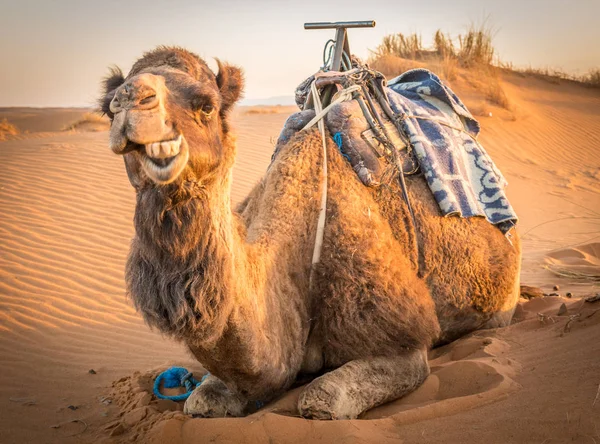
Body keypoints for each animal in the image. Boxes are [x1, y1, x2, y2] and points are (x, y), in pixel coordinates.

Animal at [98, 47, 520, 420]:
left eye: (205, 104)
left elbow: (321, 399)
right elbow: (200, 400)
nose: (130, 100)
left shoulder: (406, 341)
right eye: (108, 108)